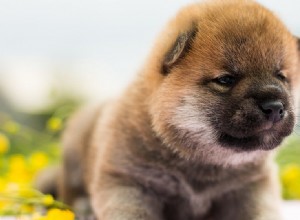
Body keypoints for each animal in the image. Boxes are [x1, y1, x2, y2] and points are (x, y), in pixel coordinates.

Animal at [58, 0, 300, 219]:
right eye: (225, 80)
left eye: (281, 76)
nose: (275, 107)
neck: (200, 163)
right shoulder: (129, 182)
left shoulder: (250, 186)